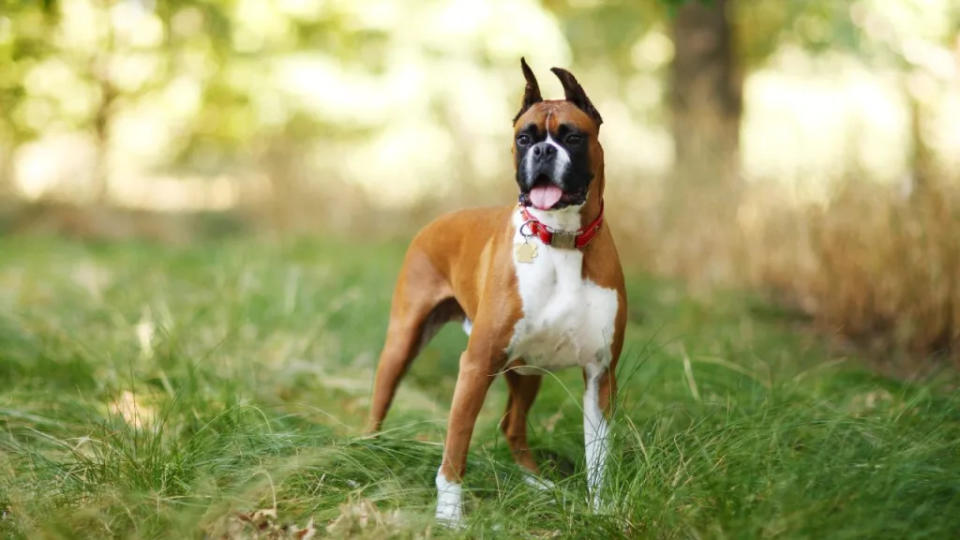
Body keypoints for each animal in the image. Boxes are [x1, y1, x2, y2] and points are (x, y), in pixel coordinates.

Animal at [364, 59, 628, 528]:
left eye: (572, 137)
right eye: (524, 137)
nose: (542, 152)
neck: (560, 240)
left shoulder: (600, 375)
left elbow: (599, 458)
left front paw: (600, 512)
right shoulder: (476, 366)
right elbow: (455, 447)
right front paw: (449, 519)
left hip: (526, 371)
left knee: (512, 425)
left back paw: (539, 485)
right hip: (403, 342)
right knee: (380, 401)